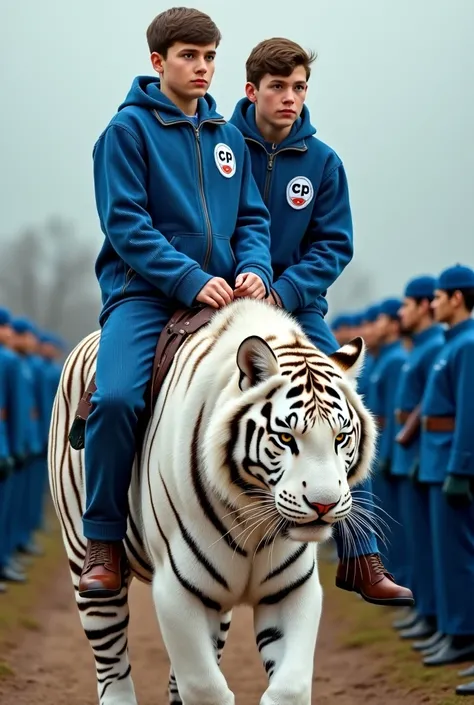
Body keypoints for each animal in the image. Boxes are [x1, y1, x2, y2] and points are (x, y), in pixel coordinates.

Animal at [48, 298, 374, 704]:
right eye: (286, 438)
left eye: (341, 436)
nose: (324, 505)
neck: (253, 515)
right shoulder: (178, 591)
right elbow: (205, 687)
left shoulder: (291, 591)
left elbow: (291, 688)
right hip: (86, 565)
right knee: (112, 664)